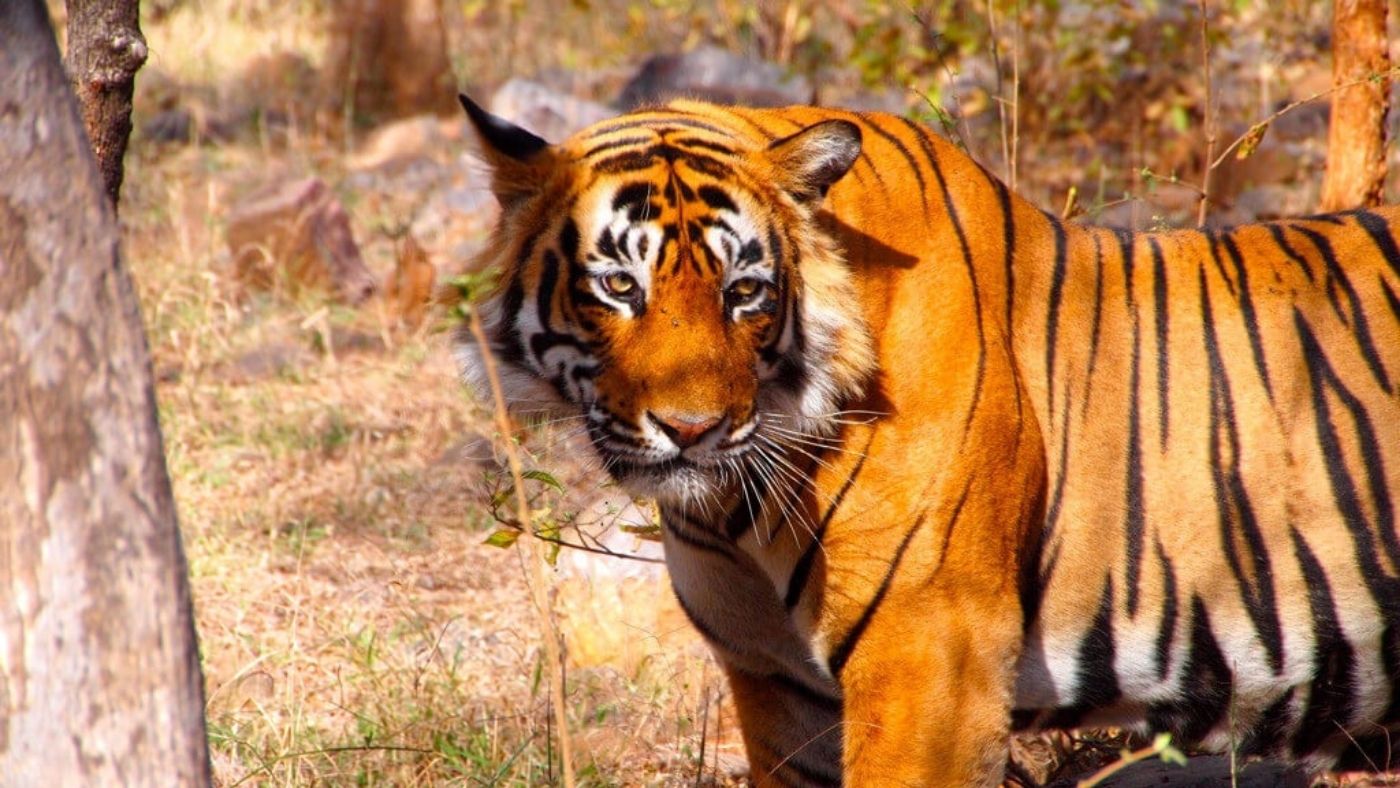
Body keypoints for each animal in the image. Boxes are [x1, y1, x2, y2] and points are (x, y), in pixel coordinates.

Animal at [454, 92, 1400, 786]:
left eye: (743, 292)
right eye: (619, 285)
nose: (694, 430)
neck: (734, 511)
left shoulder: (932, 653)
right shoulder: (779, 682)